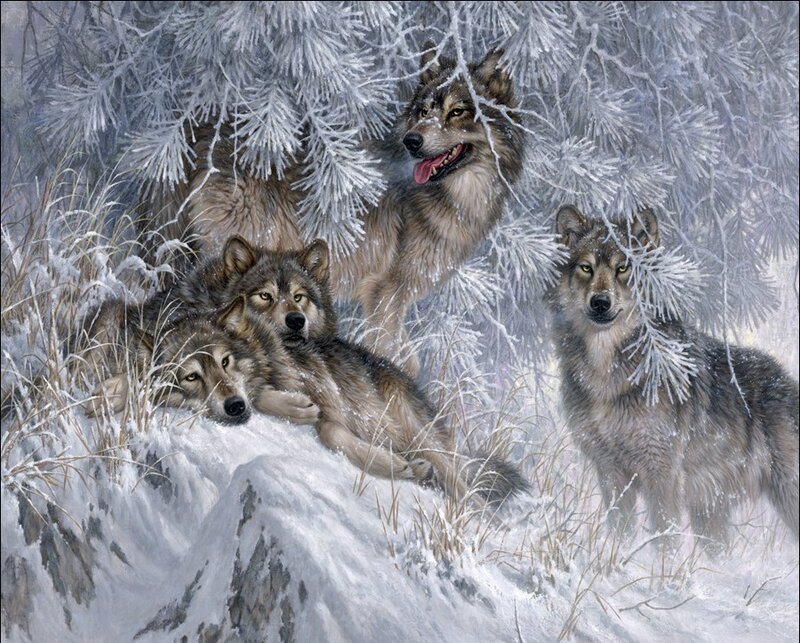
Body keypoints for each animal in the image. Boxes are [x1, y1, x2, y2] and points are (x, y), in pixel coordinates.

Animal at [146, 43, 525, 375]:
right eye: (423, 111)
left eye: (457, 111)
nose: (412, 141)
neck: (449, 198)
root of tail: (192, 130)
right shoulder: (384, 295)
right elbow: (392, 355)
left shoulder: (389, 301)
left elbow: (409, 361)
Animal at [552, 205, 800, 549]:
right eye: (586, 268)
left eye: (623, 268)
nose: (600, 302)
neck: (608, 375)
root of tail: (787, 380)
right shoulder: (611, 474)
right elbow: (619, 534)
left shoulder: (662, 475)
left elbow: (664, 542)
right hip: (709, 514)